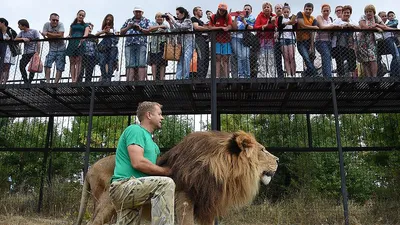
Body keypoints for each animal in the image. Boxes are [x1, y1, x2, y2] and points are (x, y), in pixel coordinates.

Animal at [76, 130, 278, 225]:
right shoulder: (184, 199)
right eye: (262, 150)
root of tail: (90, 168)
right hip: (106, 204)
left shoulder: (207, 206)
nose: (277, 160)